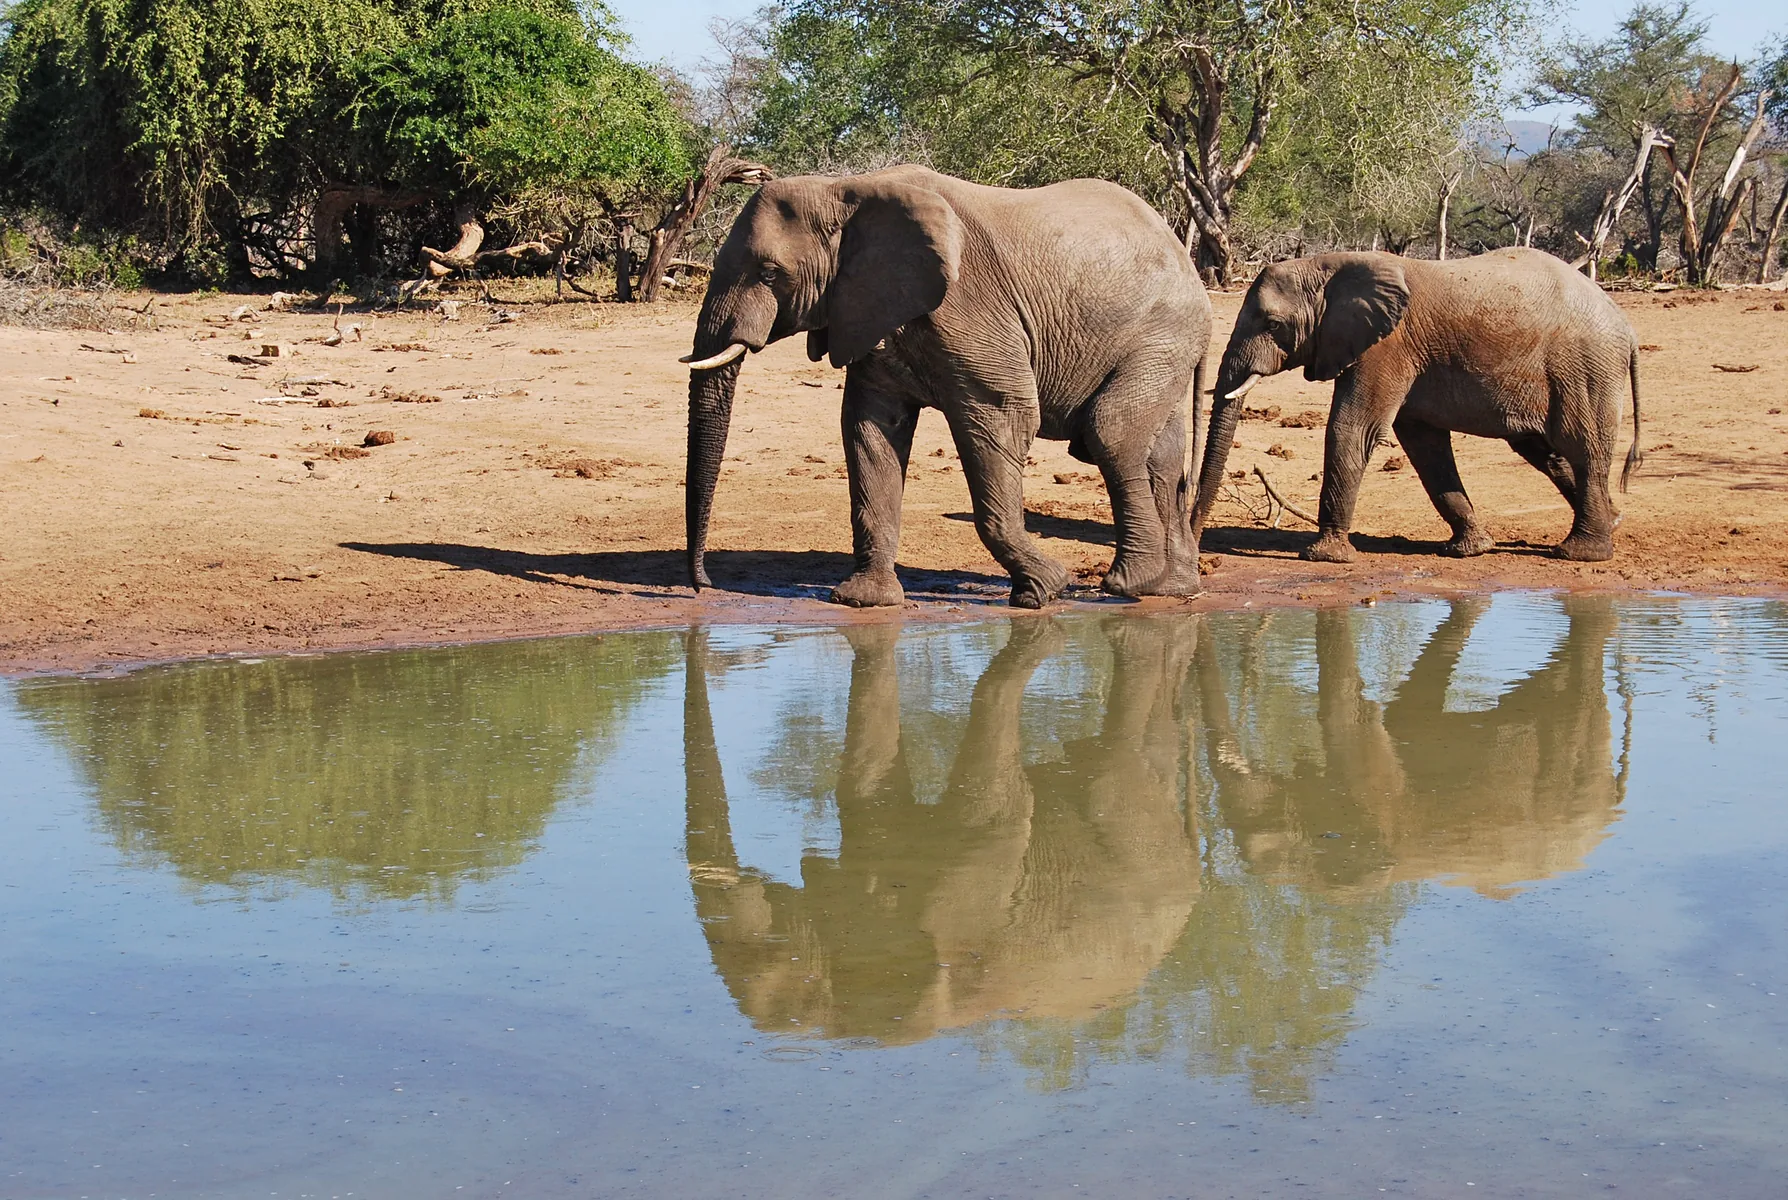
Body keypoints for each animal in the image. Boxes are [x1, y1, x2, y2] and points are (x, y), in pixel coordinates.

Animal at [680, 165, 1213, 608]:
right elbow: (871, 430)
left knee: (1111, 433)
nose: (702, 585)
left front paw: (1043, 590)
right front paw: (864, 601)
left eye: (770, 273)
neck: (847, 189)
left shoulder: (969, 307)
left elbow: (1006, 415)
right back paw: (1170, 588)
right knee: (1160, 455)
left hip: (1162, 332)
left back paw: (1129, 583)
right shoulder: (870, 311)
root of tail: (1184, 257)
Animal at [1190, 248, 1643, 563]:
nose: (1196, 544)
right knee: (1544, 451)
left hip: (1584, 366)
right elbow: (1424, 446)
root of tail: (1626, 326)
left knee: (1582, 448)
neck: (1329, 264)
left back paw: (1580, 553)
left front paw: (1324, 557)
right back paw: (1614, 520)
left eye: (1272, 325)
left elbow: (1353, 429)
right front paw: (1470, 549)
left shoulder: (1387, 346)